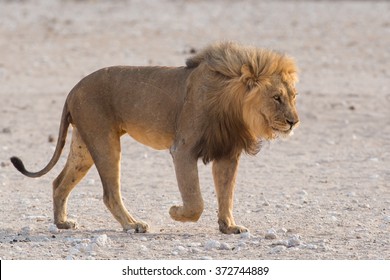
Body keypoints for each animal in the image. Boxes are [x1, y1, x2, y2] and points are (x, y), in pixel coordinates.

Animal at [11, 41, 298, 234]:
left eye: (294, 97)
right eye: (276, 97)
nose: (294, 121)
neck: (234, 107)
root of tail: (73, 89)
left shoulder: (227, 152)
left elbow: (226, 194)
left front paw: (228, 226)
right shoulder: (183, 149)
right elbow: (195, 201)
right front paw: (175, 212)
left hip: (83, 145)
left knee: (59, 182)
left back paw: (62, 222)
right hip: (104, 141)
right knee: (109, 192)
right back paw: (133, 224)